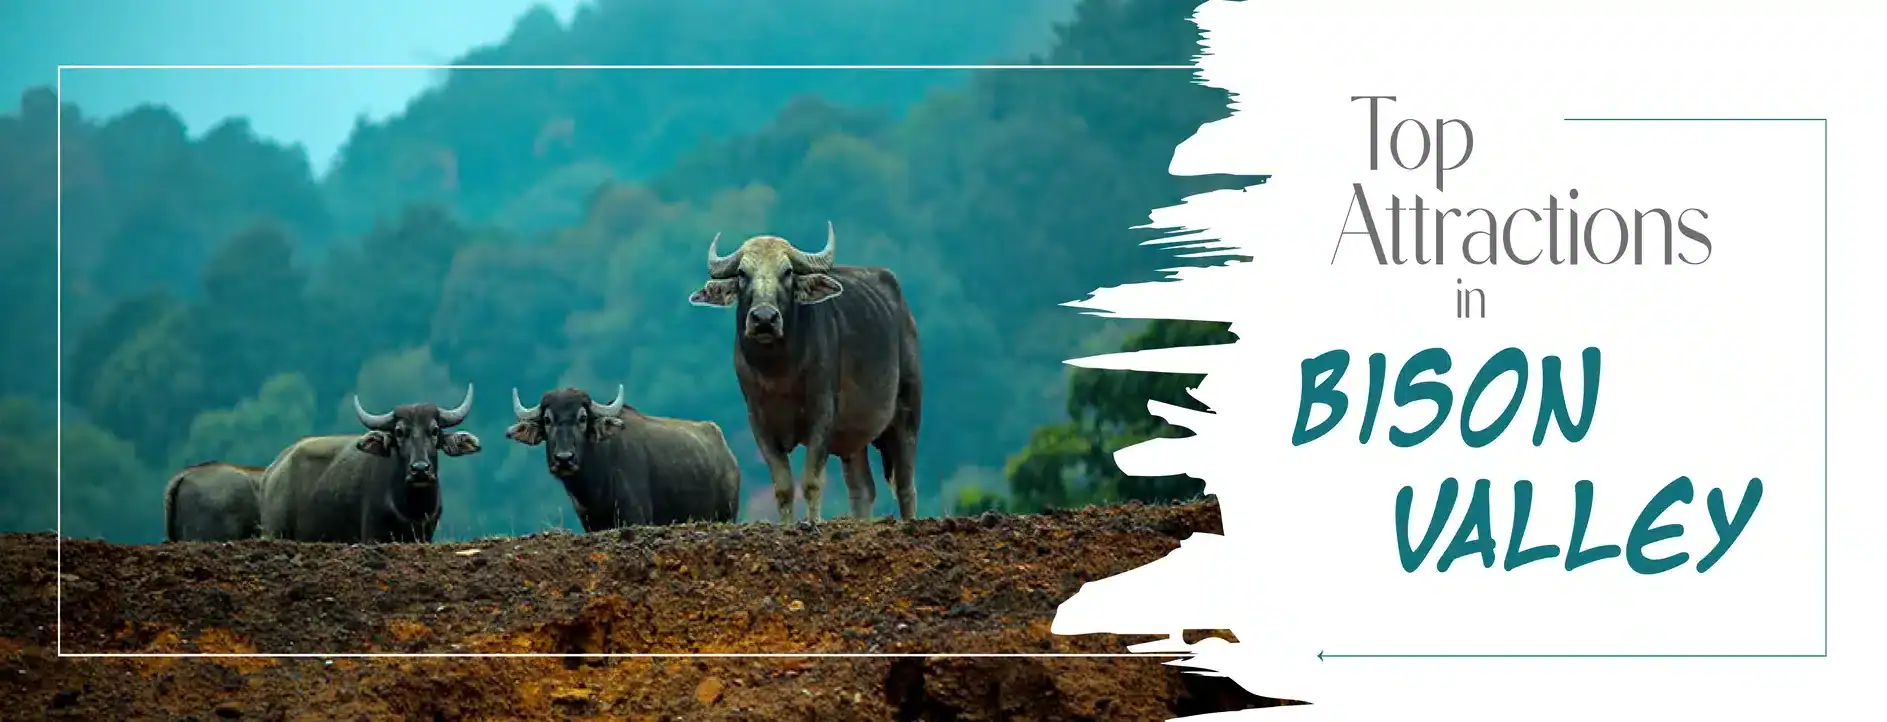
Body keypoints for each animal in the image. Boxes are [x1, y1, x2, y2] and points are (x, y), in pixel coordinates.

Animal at [257, 385, 480, 543]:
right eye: (399, 432)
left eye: (434, 431)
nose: (420, 469)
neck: (411, 508)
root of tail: (273, 470)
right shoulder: (373, 534)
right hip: (274, 530)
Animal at [506, 385, 740, 531]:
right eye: (547, 419)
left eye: (582, 418)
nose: (564, 459)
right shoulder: (590, 523)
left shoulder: (635, 516)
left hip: (727, 515)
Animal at [687, 223, 922, 522]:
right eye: (742, 273)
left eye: (787, 272)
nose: (764, 319)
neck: (779, 374)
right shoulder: (759, 423)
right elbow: (783, 487)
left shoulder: (822, 416)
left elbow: (811, 481)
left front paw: (813, 523)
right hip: (854, 439)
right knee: (862, 488)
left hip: (906, 415)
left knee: (905, 485)